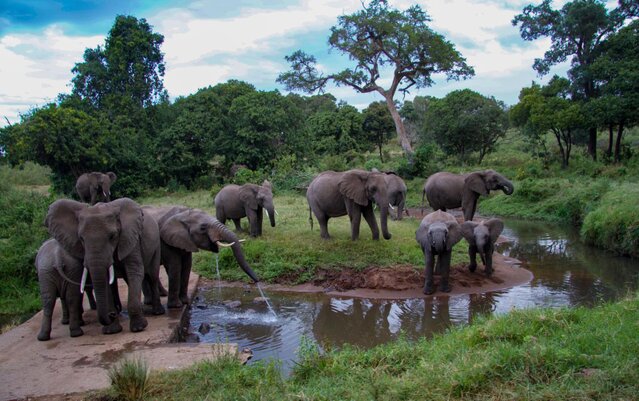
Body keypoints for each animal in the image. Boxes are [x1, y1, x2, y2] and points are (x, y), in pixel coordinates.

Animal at [45, 198, 164, 335]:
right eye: (81, 239)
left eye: (112, 236)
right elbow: (105, 280)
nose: (111, 314)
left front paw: (139, 328)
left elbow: (135, 271)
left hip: (156, 245)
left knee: (152, 276)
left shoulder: (130, 239)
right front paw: (111, 331)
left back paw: (157, 311)